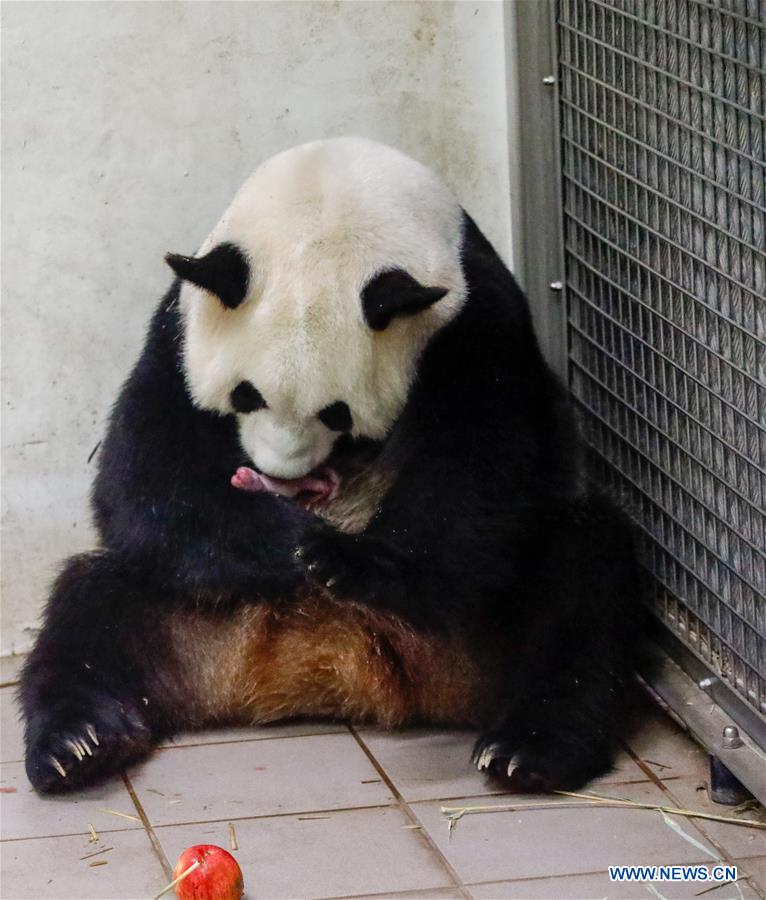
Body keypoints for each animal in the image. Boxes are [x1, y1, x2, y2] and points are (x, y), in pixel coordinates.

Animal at [19, 135, 640, 796]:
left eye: (337, 415)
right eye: (245, 396)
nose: (285, 477)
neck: (332, 185)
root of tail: (327, 669)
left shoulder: (472, 320)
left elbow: (484, 468)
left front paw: (345, 559)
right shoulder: (180, 327)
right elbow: (145, 473)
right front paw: (291, 543)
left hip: (490, 618)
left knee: (578, 588)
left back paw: (530, 748)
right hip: (183, 603)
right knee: (92, 607)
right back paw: (78, 744)